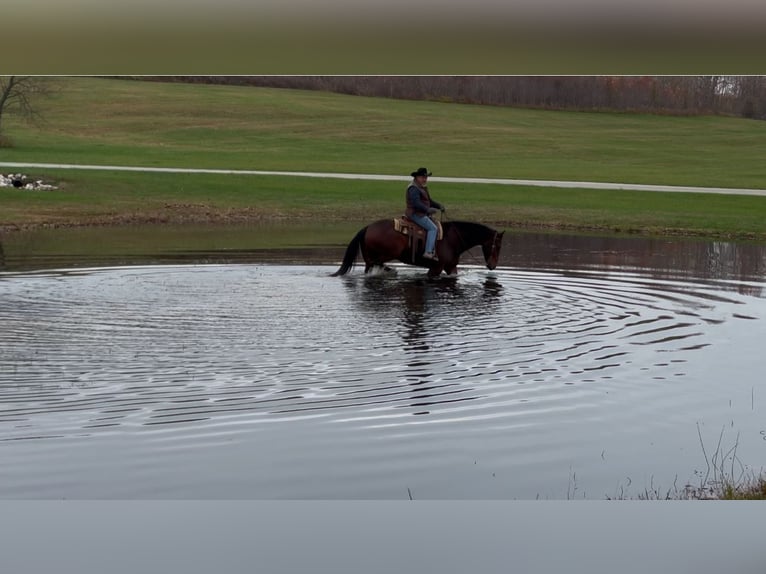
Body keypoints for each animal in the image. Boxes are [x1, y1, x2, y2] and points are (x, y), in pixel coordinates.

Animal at [332, 219, 508, 278]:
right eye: (498, 245)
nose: (492, 266)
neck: (453, 238)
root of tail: (367, 228)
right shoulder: (436, 268)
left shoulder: (451, 267)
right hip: (384, 254)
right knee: (375, 265)